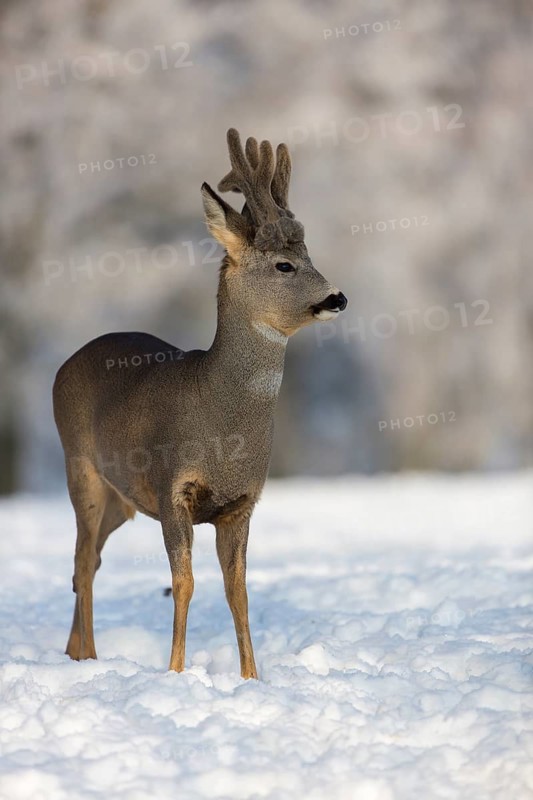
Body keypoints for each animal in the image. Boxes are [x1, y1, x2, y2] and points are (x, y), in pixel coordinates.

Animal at [53, 128, 347, 680]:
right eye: (285, 264)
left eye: (311, 256)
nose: (337, 297)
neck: (221, 421)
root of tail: (64, 364)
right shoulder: (174, 486)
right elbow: (184, 583)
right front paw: (175, 672)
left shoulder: (242, 503)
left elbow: (239, 591)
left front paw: (251, 677)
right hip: (79, 467)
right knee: (82, 562)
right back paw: (90, 657)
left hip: (121, 500)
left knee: (90, 560)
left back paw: (74, 652)